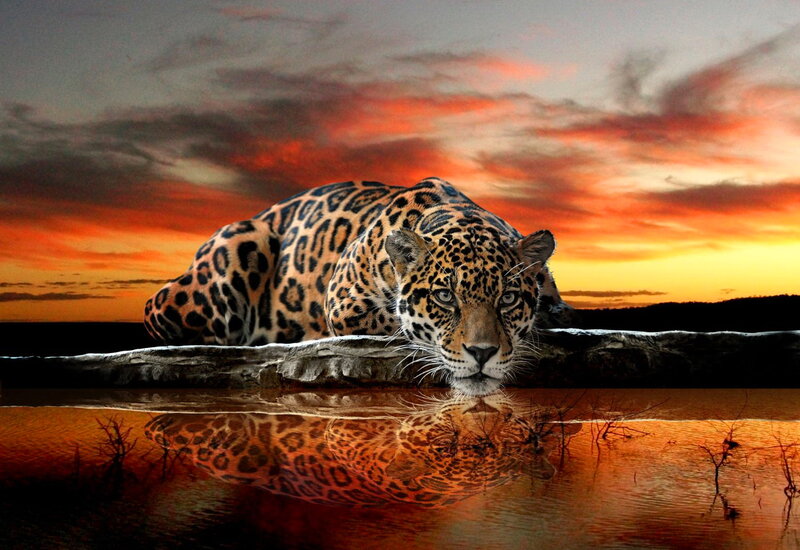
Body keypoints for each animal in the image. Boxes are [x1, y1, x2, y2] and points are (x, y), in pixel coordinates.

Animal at [144, 177, 576, 395]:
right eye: (444, 297)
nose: (483, 353)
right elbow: (398, 323)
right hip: (236, 247)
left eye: (508, 298)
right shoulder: (343, 302)